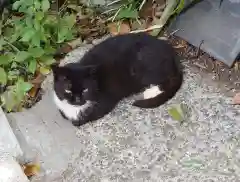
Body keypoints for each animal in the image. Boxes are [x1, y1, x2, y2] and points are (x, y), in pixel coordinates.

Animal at [51, 32, 183, 126]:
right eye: (68, 90)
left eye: (85, 90)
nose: (78, 100)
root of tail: (170, 49)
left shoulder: (105, 101)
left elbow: (81, 120)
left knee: (169, 79)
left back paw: (150, 92)